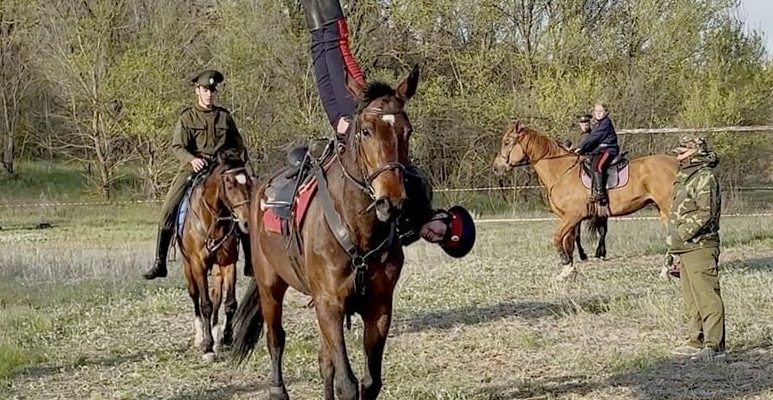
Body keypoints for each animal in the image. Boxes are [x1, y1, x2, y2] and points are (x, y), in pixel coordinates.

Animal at [177, 150, 253, 361]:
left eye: (249, 182)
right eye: (229, 184)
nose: (246, 222)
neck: (213, 220)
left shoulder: (228, 263)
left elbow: (230, 303)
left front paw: (226, 338)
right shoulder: (198, 265)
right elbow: (205, 304)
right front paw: (208, 347)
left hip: (217, 269)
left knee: (217, 296)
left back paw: (216, 334)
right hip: (188, 267)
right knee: (195, 295)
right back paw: (200, 336)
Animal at [230, 66, 420, 400]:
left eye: (406, 131)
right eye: (366, 131)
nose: (391, 201)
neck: (357, 230)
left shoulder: (379, 306)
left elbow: (369, 382)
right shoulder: (329, 304)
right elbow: (348, 384)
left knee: (324, 361)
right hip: (270, 287)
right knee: (275, 338)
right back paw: (277, 389)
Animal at [492, 121, 678, 281]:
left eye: (507, 142)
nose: (496, 168)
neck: (562, 172)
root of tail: (675, 164)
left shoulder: (573, 216)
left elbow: (557, 238)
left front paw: (567, 267)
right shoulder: (568, 218)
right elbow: (568, 242)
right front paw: (568, 271)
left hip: (668, 209)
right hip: (662, 210)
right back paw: (666, 270)